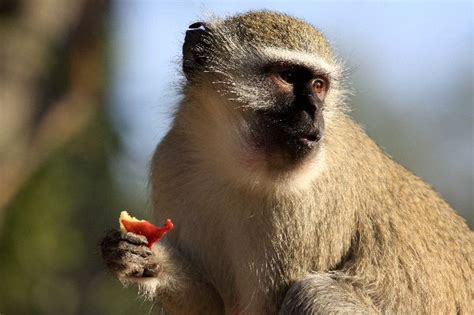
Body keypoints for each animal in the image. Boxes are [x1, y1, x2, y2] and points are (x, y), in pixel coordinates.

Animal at [101, 11, 474, 314]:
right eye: (287, 76)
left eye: (319, 85)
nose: (313, 111)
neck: (239, 164)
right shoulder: (171, 163)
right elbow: (210, 305)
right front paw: (138, 258)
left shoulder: (306, 208)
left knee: (316, 294)